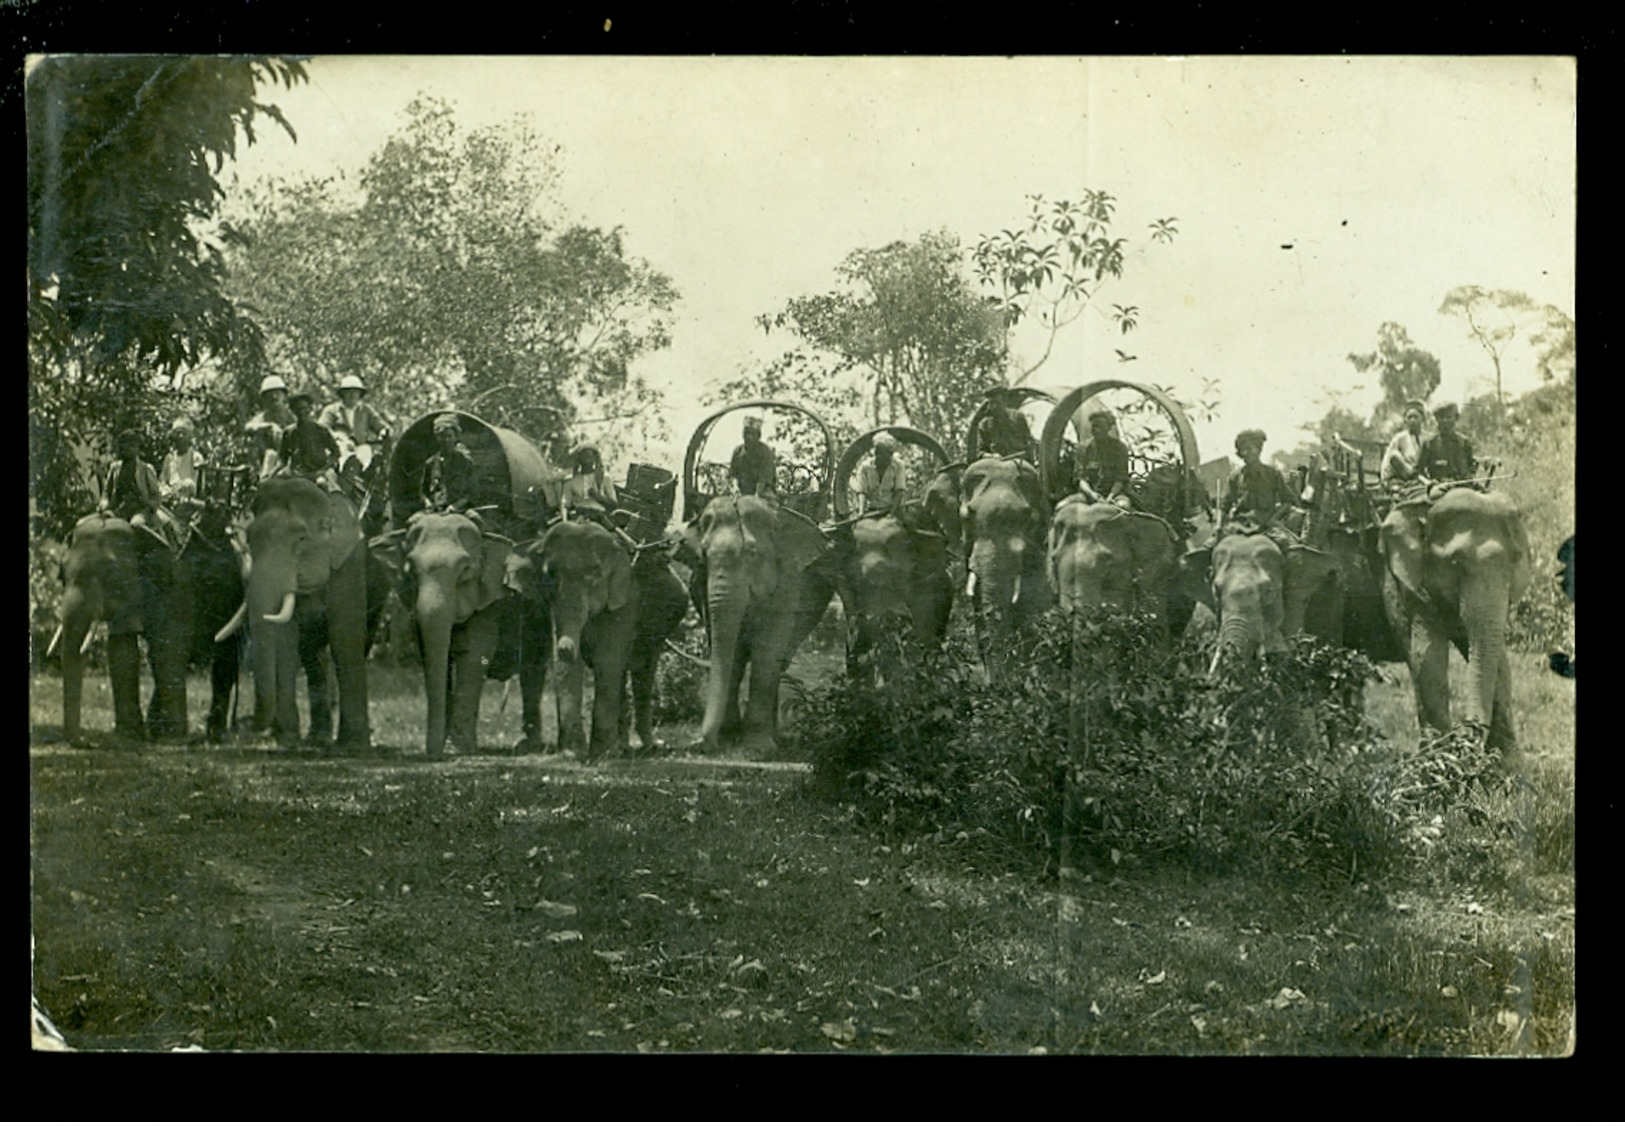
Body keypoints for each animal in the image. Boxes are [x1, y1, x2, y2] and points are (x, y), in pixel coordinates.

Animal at [54, 503, 242, 740]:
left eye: (112, 575)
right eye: (61, 575)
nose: (84, 742)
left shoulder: (177, 585)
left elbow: (168, 649)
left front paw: (173, 737)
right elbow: (122, 649)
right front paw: (129, 734)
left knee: (224, 659)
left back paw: (214, 734)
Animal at [507, 523, 685, 760]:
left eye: (594, 574)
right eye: (549, 576)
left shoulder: (626, 598)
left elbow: (606, 659)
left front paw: (602, 755)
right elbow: (562, 663)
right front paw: (573, 754)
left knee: (643, 673)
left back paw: (649, 747)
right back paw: (623, 748)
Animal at [682, 493, 838, 750]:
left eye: (752, 553)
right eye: (704, 554)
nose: (700, 744)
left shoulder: (787, 579)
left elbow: (767, 651)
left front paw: (758, 747)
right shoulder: (703, 587)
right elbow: (732, 653)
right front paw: (728, 736)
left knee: (778, 660)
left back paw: (776, 738)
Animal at [1378, 487, 1527, 750]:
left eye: (1516, 558)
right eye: (1455, 563)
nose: (1468, 730)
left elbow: (1501, 668)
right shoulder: (1404, 583)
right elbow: (1427, 660)